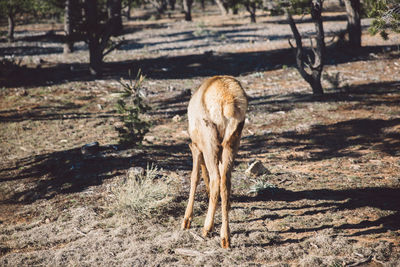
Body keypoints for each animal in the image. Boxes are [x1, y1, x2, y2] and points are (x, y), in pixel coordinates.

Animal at [181, 76, 247, 249]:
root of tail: (227, 104)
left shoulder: (196, 146)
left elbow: (194, 177)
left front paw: (186, 220)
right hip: (232, 140)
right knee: (225, 180)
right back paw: (226, 237)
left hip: (209, 137)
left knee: (216, 179)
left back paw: (207, 228)